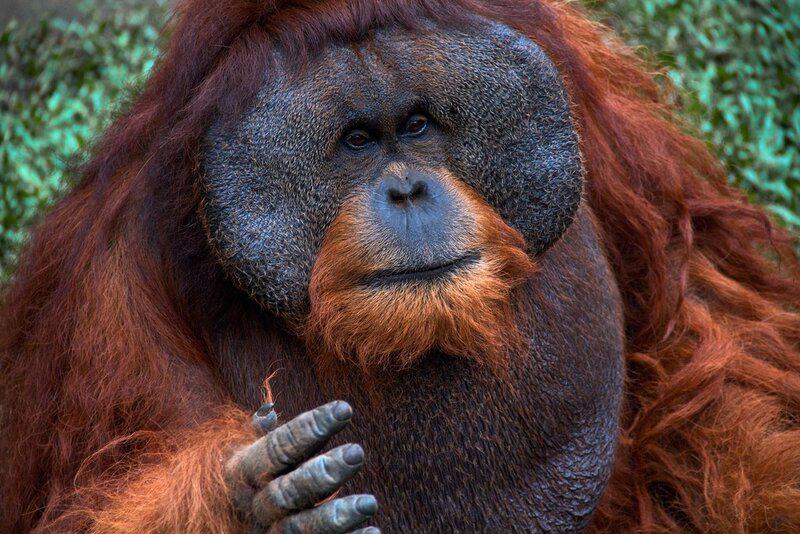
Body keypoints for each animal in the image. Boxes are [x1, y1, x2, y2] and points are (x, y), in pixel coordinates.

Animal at [2, 1, 799, 532]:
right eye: (357, 141)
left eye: (416, 125)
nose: (408, 189)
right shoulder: (103, 284)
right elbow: (82, 498)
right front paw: (254, 502)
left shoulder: (610, 128)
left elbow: (707, 360)